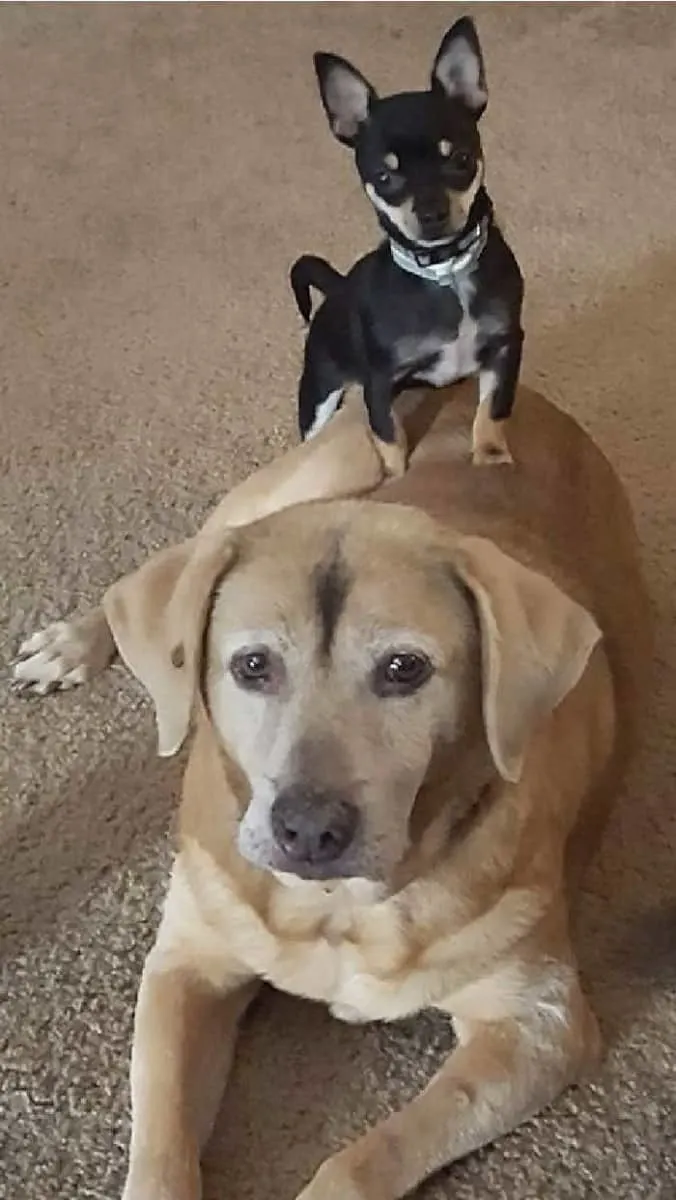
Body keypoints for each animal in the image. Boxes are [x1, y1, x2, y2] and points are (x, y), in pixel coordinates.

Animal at [13, 384, 648, 1200]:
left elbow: (363, 1158)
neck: (338, 912)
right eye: (251, 665)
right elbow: (159, 1148)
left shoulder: (538, 1026)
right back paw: (75, 642)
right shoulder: (188, 964)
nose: (308, 828)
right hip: (292, 485)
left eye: (406, 670)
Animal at [289, 17, 523, 472]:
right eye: (385, 177)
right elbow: (389, 437)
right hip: (320, 391)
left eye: (461, 160)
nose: (431, 213)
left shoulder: (506, 347)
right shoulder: (379, 383)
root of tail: (339, 287)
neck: (445, 271)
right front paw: (396, 476)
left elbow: (493, 409)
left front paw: (491, 456)